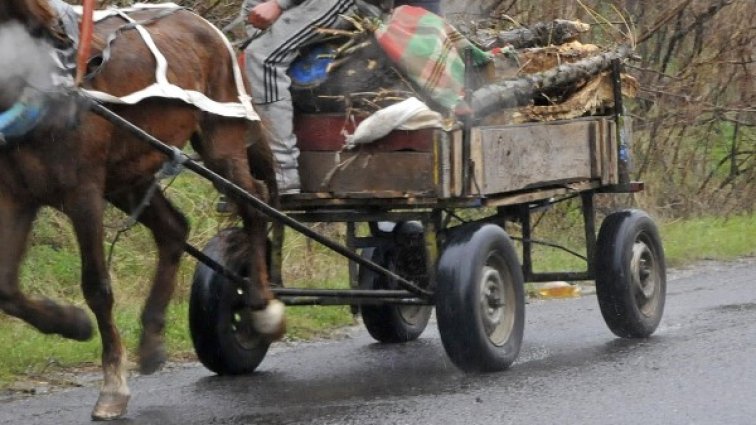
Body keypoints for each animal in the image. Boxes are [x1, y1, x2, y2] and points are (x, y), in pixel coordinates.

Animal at [0, 0, 284, 420]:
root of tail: (209, 28)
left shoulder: (83, 193)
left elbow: (97, 287)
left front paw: (112, 387)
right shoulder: (17, 195)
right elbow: (7, 289)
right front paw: (72, 324)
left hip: (220, 141)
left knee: (254, 204)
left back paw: (261, 305)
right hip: (128, 176)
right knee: (174, 228)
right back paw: (151, 339)